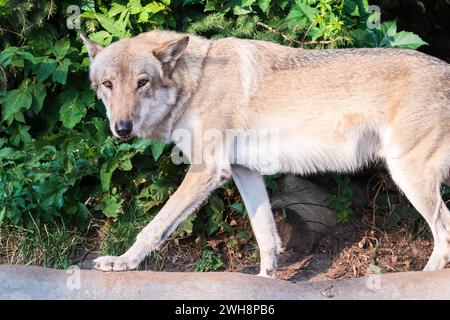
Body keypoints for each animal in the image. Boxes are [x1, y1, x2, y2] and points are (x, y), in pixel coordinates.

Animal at [80, 29, 450, 278]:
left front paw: (121, 262)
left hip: (408, 175)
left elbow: (154, 226)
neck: (196, 82)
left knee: (443, 230)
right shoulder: (243, 171)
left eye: (142, 82)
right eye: (108, 84)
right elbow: (266, 235)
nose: (122, 128)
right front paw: (265, 278)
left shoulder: (207, 169)